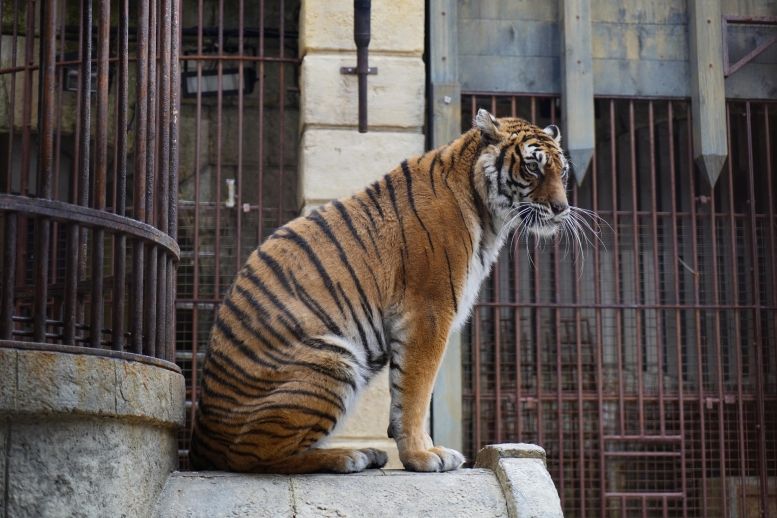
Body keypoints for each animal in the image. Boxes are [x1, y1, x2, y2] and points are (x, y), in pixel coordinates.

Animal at [189, 108, 572, 474]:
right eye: (532, 167)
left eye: (563, 172)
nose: (562, 208)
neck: (489, 215)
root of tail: (201, 437)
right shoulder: (429, 312)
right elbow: (415, 392)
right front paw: (423, 455)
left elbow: (405, 392)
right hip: (334, 360)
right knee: (252, 456)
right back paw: (349, 456)